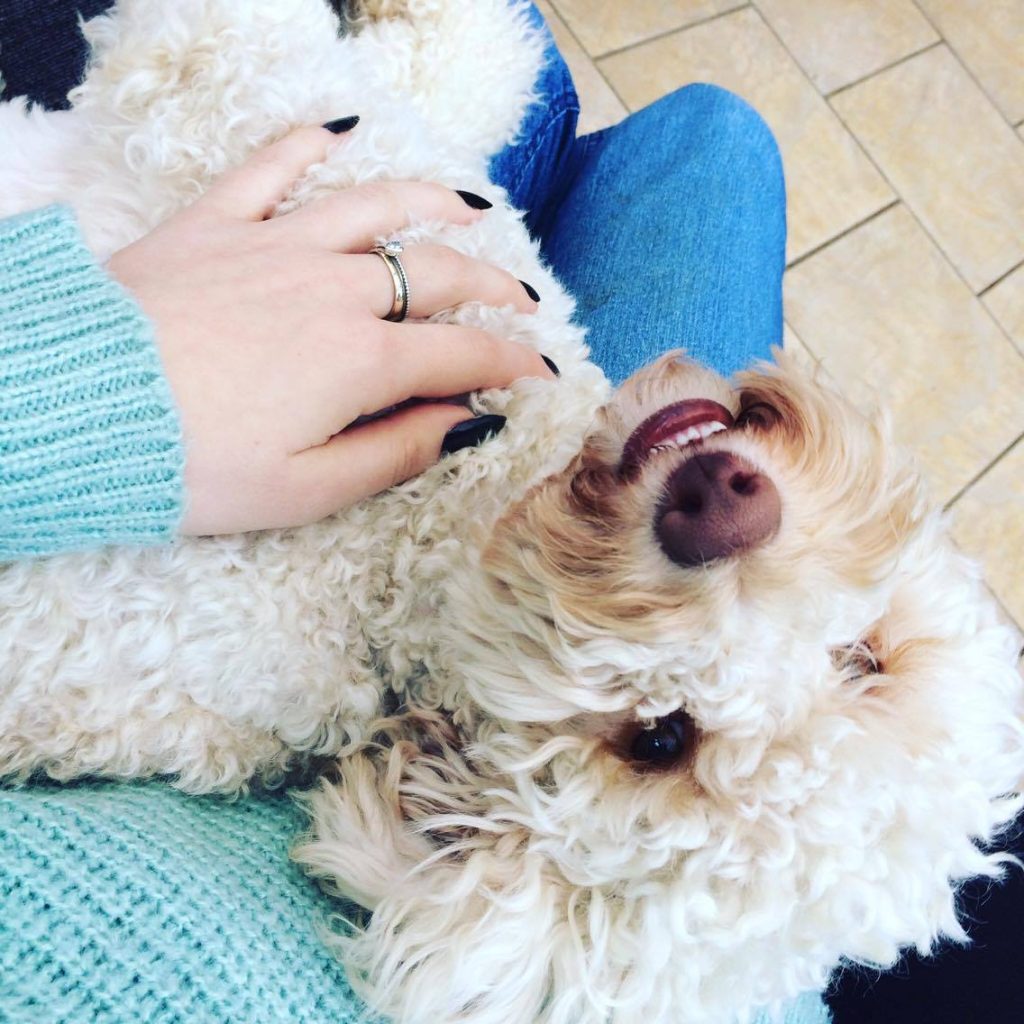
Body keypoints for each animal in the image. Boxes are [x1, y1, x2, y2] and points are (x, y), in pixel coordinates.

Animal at [2, 2, 1024, 1024]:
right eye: (868, 660)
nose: (721, 510)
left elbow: (252, 48)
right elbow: (468, 62)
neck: (439, 537)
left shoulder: (287, 124)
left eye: (656, 738)